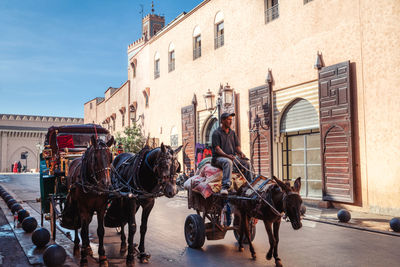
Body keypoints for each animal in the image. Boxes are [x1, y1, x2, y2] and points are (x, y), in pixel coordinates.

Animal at [67, 137, 113, 266]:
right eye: (95, 158)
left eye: (110, 157)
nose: (106, 184)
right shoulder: (83, 208)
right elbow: (82, 231)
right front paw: (83, 259)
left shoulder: (101, 208)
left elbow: (101, 231)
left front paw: (102, 257)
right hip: (76, 206)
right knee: (77, 224)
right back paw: (78, 246)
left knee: (86, 224)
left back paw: (87, 247)